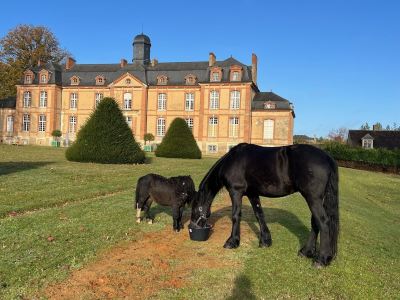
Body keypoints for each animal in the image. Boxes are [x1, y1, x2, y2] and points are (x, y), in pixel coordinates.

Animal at [191, 143, 338, 268]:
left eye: (194, 210)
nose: (191, 228)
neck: (232, 161)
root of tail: (327, 157)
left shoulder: (235, 191)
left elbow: (236, 216)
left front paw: (232, 242)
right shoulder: (252, 193)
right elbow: (259, 214)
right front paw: (265, 241)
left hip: (313, 198)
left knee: (323, 222)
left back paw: (321, 260)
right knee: (315, 223)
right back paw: (306, 252)